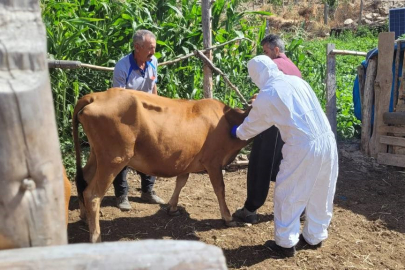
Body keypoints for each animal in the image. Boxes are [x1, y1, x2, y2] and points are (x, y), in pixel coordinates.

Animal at [73, 88, 249, 243]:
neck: (227, 120)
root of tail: (96, 95)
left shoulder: (186, 160)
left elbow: (181, 182)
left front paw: (172, 207)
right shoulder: (214, 162)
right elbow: (220, 189)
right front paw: (228, 217)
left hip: (97, 155)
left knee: (82, 179)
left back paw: (84, 218)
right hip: (114, 158)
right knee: (92, 194)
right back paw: (96, 237)